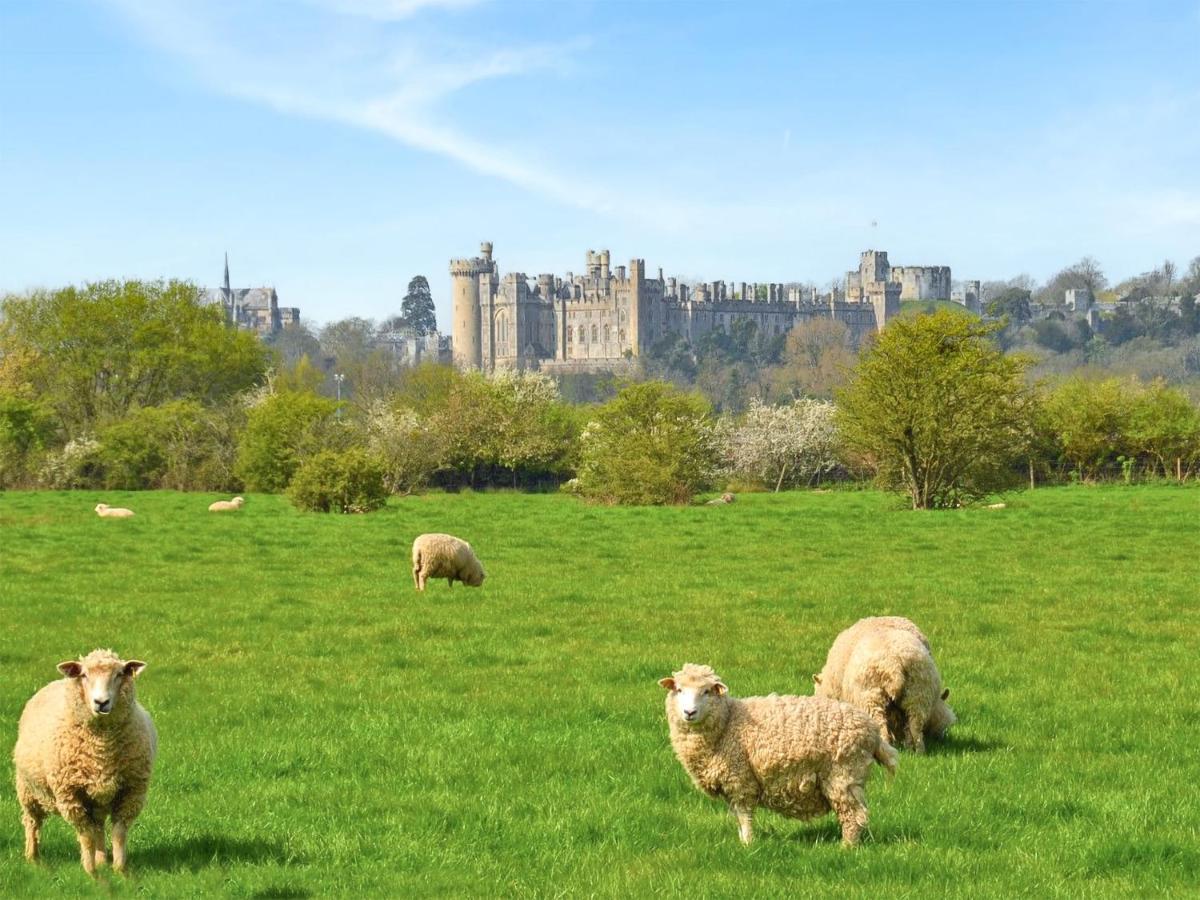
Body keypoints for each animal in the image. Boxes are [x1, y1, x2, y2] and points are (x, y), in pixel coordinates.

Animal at [12, 652, 157, 878]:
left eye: (119, 674)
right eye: (85, 675)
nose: (101, 702)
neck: (102, 749)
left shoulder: (131, 792)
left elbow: (119, 833)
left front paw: (120, 871)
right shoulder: (70, 795)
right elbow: (86, 835)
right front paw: (91, 874)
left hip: (97, 799)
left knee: (98, 826)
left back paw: (101, 859)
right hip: (28, 790)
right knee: (32, 822)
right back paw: (33, 859)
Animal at [657, 662, 902, 844]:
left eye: (706, 691)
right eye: (679, 690)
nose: (689, 712)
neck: (727, 722)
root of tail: (873, 731)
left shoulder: (741, 779)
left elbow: (745, 816)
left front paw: (748, 845)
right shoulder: (731, 785)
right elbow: (737, 817)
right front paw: (742, 841)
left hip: (843, 774)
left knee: (854, 816)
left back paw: (847, 847)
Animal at [816, 619, 955, 758]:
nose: (940, 737)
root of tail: (894, 664)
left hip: (872, 699)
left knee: (882, 726)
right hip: (918, 696)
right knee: (914, 728)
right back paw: (917, 752)